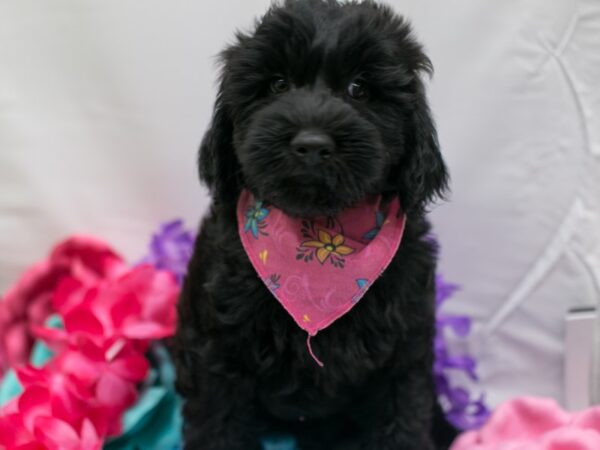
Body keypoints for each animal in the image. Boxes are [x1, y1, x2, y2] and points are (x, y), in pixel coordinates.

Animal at [175, 1, 454, 448]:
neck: (320, 233)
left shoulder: (403, 350)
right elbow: (219, 425)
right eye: (276, 84)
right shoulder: (218, 351)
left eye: (359, 89)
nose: (311, 144)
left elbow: (403, 420)